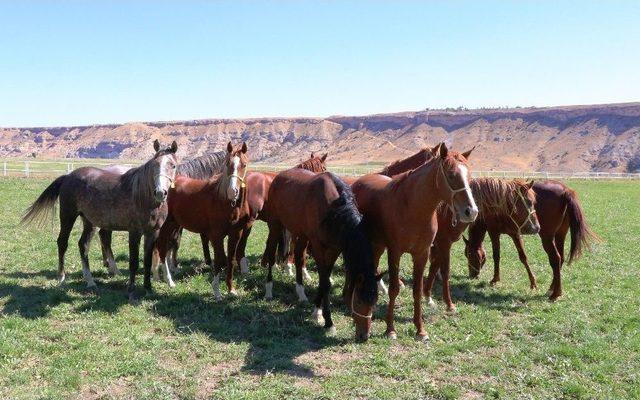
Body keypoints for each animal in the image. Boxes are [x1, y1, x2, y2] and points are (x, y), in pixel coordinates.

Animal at [22, 141, 178, 300]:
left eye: (173, 165)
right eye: (154, 165)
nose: (160, 193)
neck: (143, 198)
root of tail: (68, 176)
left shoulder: (153, 233)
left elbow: (146, 261)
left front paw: (148, 288)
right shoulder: (134, 232)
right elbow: (133, 262)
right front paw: (131, 291)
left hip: (89, 222)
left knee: (83, 245)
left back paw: (90, 281)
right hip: (68, 216)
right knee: (62, 243)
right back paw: (62, 278)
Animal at [152, 142, 250, 298]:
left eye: (244, 165)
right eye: (227, 164)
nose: (232, 192)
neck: (224, 201)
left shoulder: (236, 234)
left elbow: (231, 260)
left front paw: (231, 289)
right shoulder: (216, 235)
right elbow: (219, 261)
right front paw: (217, 292)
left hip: (174, 224)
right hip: (166, 226)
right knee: (161, 249)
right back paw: (169, 281)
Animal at [260, 169, 380, 340]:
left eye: (375, 302)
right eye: (358, 301)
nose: (364, 336)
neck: (334, 209)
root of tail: (278, 177)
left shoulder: (334, 249)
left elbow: (325, 280)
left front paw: (317, 311)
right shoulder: (317, 246)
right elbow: (325, 282)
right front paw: (328, 321)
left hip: (301, 233)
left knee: (298, 257)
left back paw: (301, 292)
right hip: (275, 225)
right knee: (271, 255)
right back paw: (269, 291)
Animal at [350, 144, 480, 340]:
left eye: (470, 175)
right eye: (451, 174)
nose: (471, 211)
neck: (412, 208)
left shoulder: (422, 253)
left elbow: (418, 290)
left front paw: (420, 330)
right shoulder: (395, 252)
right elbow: (394, 288)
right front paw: (390, 329)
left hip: (378, 245)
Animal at [462, 180, 596, 300]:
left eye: (469, 254)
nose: (472, 275)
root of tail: (566, 191)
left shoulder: (493, 232)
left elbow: (496, 256)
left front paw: (495, 279)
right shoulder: (514, 234)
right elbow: (523, 257)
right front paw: (533, 283)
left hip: (547, 237)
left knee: (555, 259)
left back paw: (555, 293)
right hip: (560, 235)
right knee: (561, 258)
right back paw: (551, 288)